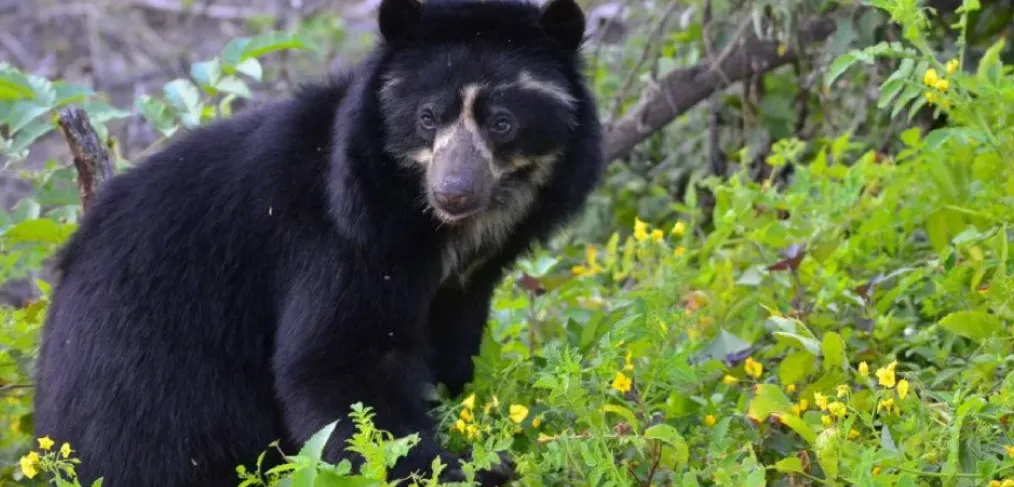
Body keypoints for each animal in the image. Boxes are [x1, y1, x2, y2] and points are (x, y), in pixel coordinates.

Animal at [31, 0, 600, 482]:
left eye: (502, 123)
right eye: (426, 118)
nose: (454, 190)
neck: (436, 229)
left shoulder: (464, 284)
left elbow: (451, 349)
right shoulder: (341, 241)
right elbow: (341, 363)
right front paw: (460, 469)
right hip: (146, 372)